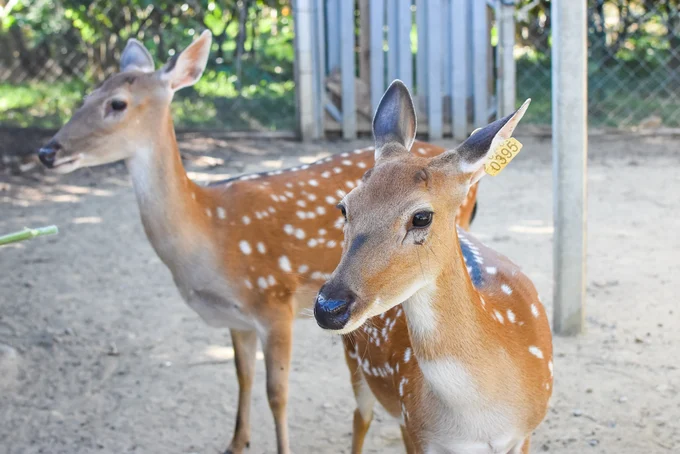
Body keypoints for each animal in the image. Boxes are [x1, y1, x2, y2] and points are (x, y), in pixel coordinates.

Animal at [34, 32, 480, 454]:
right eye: (87, 94)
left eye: (118, 104)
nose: (46, 150)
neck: (211, 238)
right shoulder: (238, 318)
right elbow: (243, 377)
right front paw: (235, 442)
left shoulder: (274, 301)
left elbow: (276, 393)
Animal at [314, 81, 552, 454]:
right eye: (344, 207)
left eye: (422, 217)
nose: (329, 307)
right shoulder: (418, 430)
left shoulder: (525, 432)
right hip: (357, 363)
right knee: (361, 418)